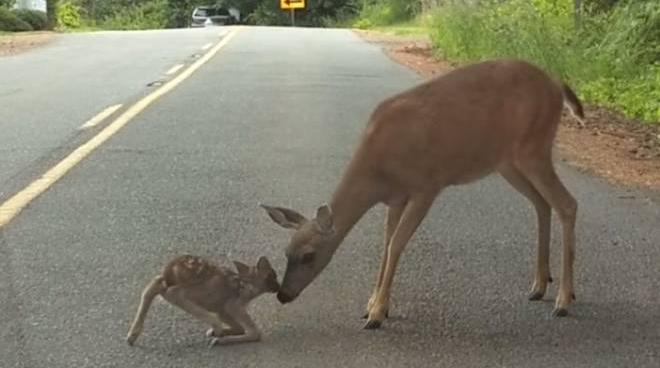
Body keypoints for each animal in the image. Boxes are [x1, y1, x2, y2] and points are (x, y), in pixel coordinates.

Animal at [125, 254, 278, 346]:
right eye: (273, 276)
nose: (278, 287)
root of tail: (169, 273)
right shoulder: (233, 304)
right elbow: (254, 332)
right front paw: (220, 338)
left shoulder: (222, 308)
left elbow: (238, 327)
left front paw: (218, 333)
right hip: (201, 288)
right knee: (171, 292)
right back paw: (216, 326)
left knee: (153, 285)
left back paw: (132, 335)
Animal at [260, 59, 584, 330]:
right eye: (286, 252)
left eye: (309, 255)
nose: (283, 295)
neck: (377, 169)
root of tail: (555, 83)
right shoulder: (396, 197)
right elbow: (386, 243)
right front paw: (372, 304)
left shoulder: (427, 185)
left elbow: (396, 244)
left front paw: (377, 313)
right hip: (507, 161)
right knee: (542, 203)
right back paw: (539, 286)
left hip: (534, 147)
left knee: (567, 204)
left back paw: (563, 300)